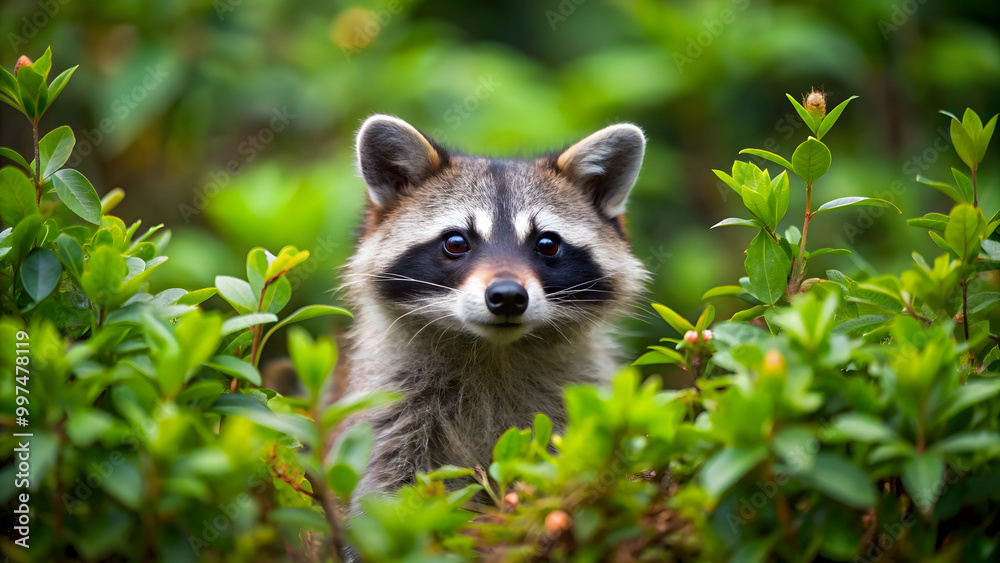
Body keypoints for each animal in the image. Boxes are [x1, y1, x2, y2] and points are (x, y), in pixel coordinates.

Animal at [343, 114, 648, 500]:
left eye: (547, 244)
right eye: (456, 242)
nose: (508, 296)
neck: (494, 351)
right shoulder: (391, 407)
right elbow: (384, 483)